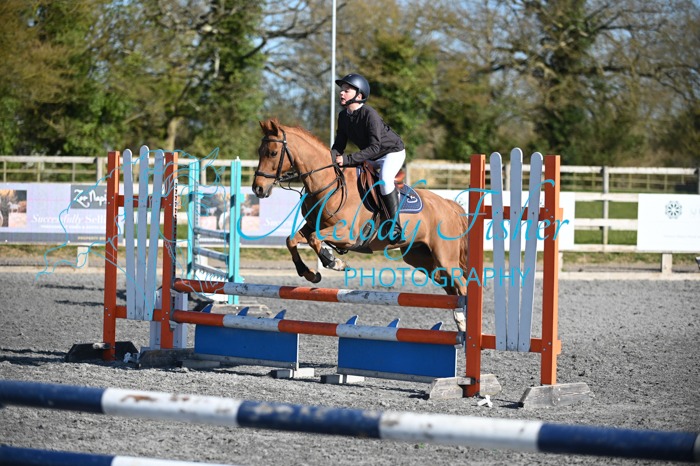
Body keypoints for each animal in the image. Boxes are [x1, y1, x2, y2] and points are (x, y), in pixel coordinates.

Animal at [253, 119, 470, 328]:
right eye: (259, 151)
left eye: (273, 153)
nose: (258, 189)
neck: (327, 183)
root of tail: (449, 206)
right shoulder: (312, 226)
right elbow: (291, 240)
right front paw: (310, 274)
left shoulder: (346, 234)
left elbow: (315, 239)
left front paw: (334, 262)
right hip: (420, 257)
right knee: (449, 284)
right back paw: (460, 321)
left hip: (444, 257)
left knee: (461, 284)